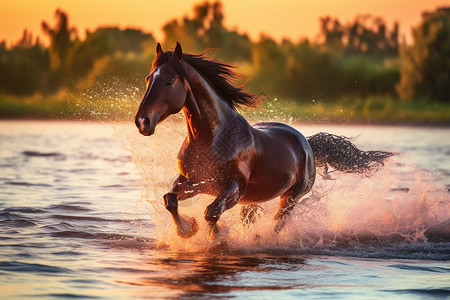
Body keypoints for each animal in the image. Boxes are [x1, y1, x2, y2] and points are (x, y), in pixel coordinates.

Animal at [134, 42, 394, 239]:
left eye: (169, 81)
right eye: (147, 79)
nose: (142, 121)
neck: (212, 139)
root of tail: (307, 143)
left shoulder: (233, 188)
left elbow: (211, 212)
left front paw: (218, 239)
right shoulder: (193, 182)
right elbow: (170, 200)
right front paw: (188, 230)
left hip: (290, 197)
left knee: (278, 223)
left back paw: (263, 239)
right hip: (253, 200)